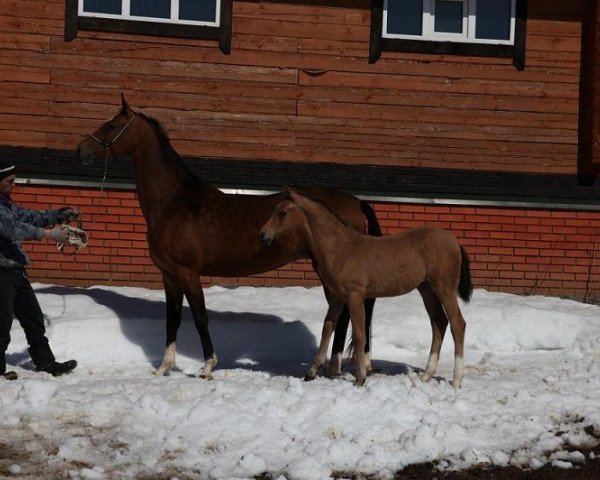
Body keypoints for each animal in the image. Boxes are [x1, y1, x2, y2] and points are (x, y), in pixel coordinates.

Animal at [258, 188, 474, 386]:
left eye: (282, 212)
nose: (262, 235)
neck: (341, 249)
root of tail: (455, 243)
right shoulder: (338, 297)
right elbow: (327, 328)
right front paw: (311, 373)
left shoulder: (355, 295)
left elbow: (359, 334)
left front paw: (360, 378)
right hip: (426, 289)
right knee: (439, 322)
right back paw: (427, 375)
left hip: (444, 288)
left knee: (457, 324)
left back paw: (456, 380)